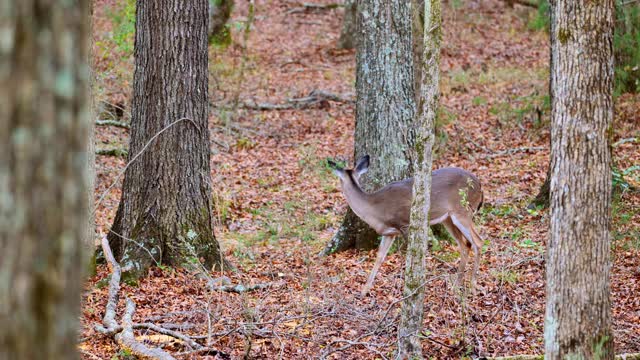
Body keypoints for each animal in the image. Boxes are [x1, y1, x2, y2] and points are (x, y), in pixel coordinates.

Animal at [330, 155, 484, 296]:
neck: (375, 208)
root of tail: (480, 185)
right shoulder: (389, 232)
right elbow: (380, 257)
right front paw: (364, 291)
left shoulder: (404, 224)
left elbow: (412, 255)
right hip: (448, 218)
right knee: (465, 245)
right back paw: (456, 286)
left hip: (463, 211)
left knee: (478, 242)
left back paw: (472, 287)